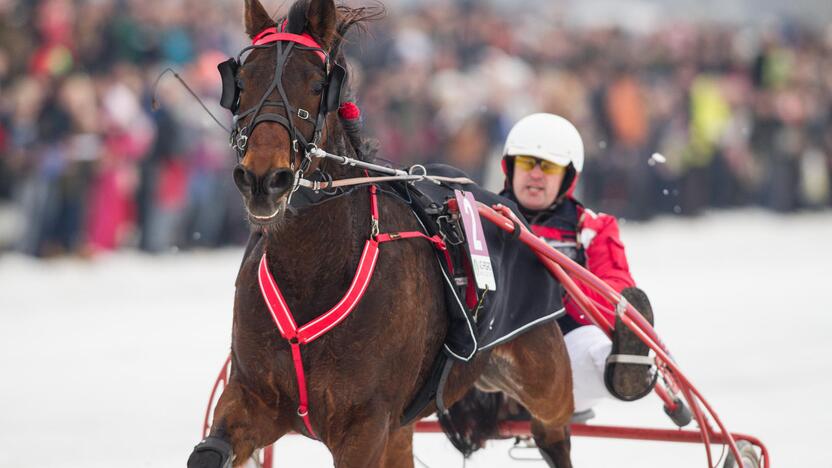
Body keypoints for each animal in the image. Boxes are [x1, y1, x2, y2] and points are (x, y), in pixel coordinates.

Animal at [188, 1, 576, 466]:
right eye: (242, 82)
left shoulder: (365, 424)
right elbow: (209, 451)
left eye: (317, 84)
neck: (310, 274)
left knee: (554, 429)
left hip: (543, 371)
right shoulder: (253, 397)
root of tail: (512, 210)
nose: (264, 180)